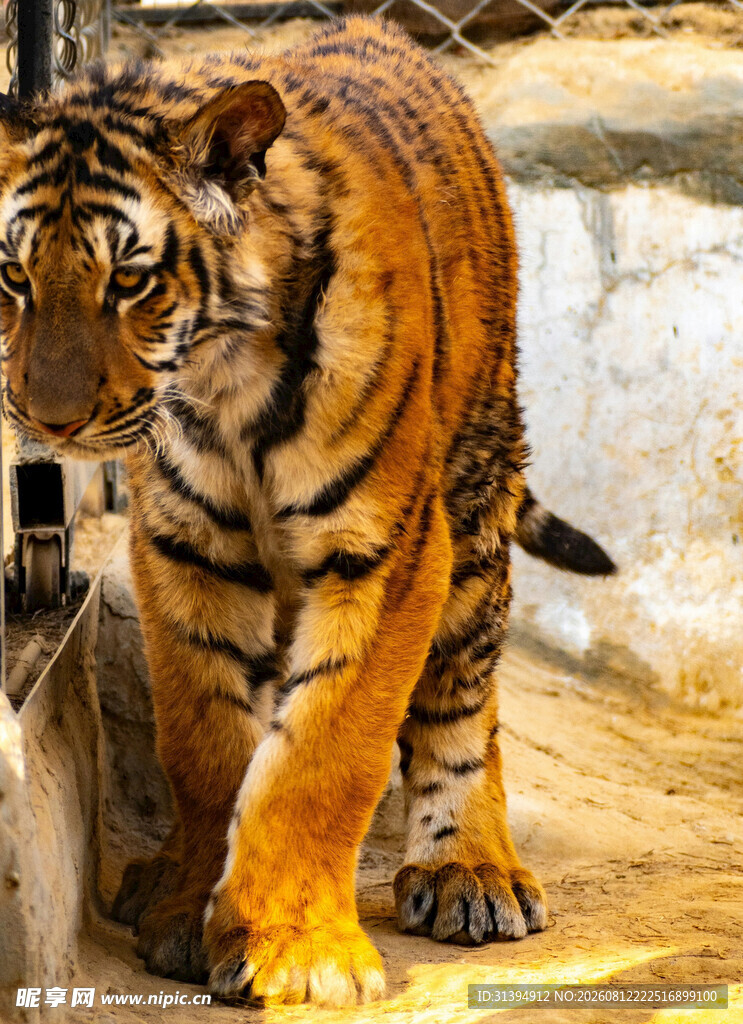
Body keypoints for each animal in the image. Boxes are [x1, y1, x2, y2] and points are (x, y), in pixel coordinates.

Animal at [0, 17, 615, 1006]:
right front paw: (188, 911)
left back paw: (470, 872)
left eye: (129, 282)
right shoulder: (187, 546)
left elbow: (324, 751)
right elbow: (208, 740)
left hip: (475, 493)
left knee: (464, 696)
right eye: (13, 275)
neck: (223, 385)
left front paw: (297, 952)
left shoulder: (388, 549)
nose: (46, 420)